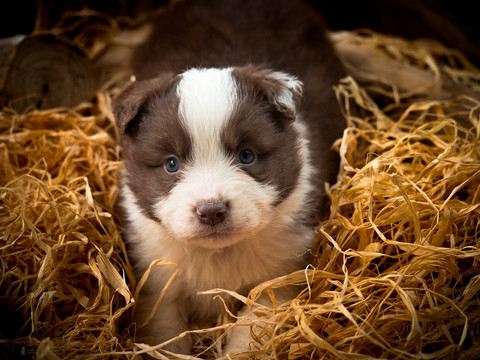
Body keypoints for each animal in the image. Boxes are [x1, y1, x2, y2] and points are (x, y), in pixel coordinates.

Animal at [114, 0, 346, 354]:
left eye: (246, 156)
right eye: (171, 164)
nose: (212, 211)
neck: (218, 253)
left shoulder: (279, 277)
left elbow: (248, 332)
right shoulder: (156, 276)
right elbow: (165, 333)